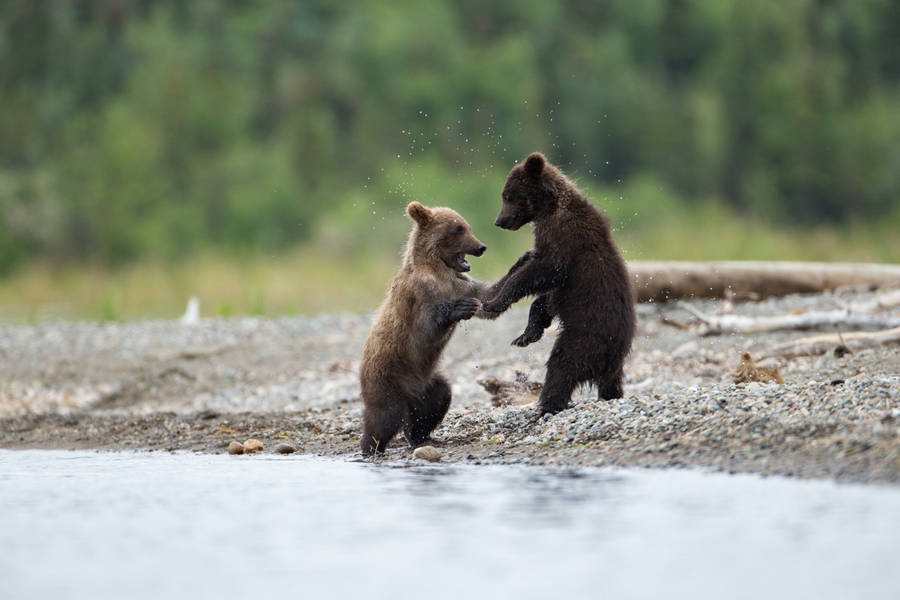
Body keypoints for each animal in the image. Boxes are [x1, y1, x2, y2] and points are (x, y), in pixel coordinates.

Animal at [359, 201, 522, 455]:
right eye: (459, 228)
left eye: (466, 226)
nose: (481, 246)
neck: (438, 268)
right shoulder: (420, 293)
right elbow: (427, 326)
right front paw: (462, 307)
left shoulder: (460, 284)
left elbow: (489, 298)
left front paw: (521, 263)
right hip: (387, 376)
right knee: (385, 415)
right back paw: (371, 445)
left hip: (426, 383)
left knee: (435, 402)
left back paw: (422, 437)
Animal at [483, 152, 635, 413]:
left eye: (508, 195)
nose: (499, 221)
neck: (549, 207)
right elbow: (546, 298)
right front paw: (526, 334)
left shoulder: (563, 237)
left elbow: (544, 271)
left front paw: (496, 302)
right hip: (612, 361)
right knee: (610, 382)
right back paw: (610, 395)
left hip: (585, 337)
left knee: (563, 365)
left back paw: (546, 404)